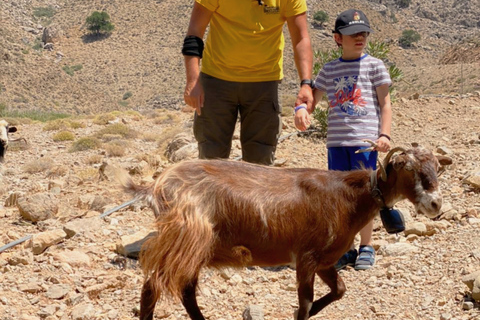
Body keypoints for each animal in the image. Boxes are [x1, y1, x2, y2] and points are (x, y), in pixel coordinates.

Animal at [122, 146, 452, 318]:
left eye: (437, 167)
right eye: (408, 168)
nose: (435, 204)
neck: (347, 197)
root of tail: (157, 185)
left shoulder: (324, 260)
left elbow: (339, 290)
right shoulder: (305, 256)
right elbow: (304, 301)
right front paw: (302, 313)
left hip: (196, 249)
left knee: (185, 291)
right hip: (185, 240)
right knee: (153, 287)